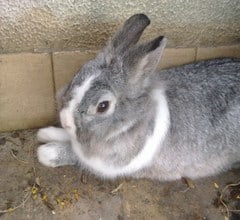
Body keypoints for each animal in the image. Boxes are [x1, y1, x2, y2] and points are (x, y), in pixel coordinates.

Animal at [36, 13, 240, 180]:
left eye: (103, 106)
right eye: (77, 74)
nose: (65, 120)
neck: (131, 121)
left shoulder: (108, 164)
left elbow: (76, 155)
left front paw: (46, 152)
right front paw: (45, 133)